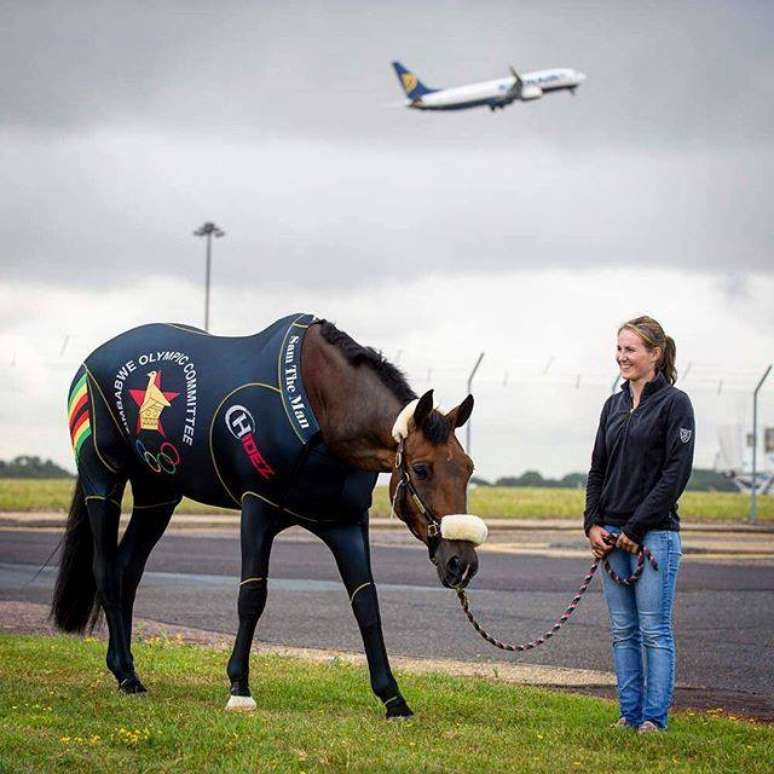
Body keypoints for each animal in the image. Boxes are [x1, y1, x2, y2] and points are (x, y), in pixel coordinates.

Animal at [52, 313, 487, 718]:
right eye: (422, 469)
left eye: (468, 468)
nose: (460, 562)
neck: (319, 413)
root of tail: (92, 361)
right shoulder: (256, 508)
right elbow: (252, 595)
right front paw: (239, 687)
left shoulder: (345, 523)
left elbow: (366, 603)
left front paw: (393, 698)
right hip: (103, 480)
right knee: (106, 569)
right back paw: (126, 675)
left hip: (157, 495)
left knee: (127, 569)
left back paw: (126, 670)